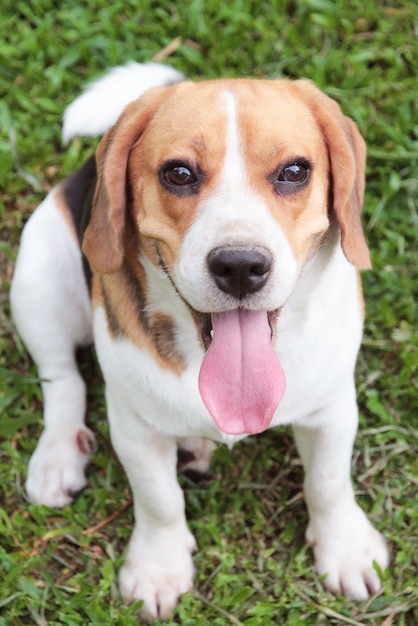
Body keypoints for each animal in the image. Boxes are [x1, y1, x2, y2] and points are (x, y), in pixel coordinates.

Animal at [9, 61, 388, 616]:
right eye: (179, 173)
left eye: (295, 171)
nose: (240, 266)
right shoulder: (134, 427)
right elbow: (159, 499)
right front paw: (158, 568)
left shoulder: (333, 407)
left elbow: (328, 481)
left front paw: (347, 550)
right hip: (38, 276)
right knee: (61, 378)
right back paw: (58, 455)